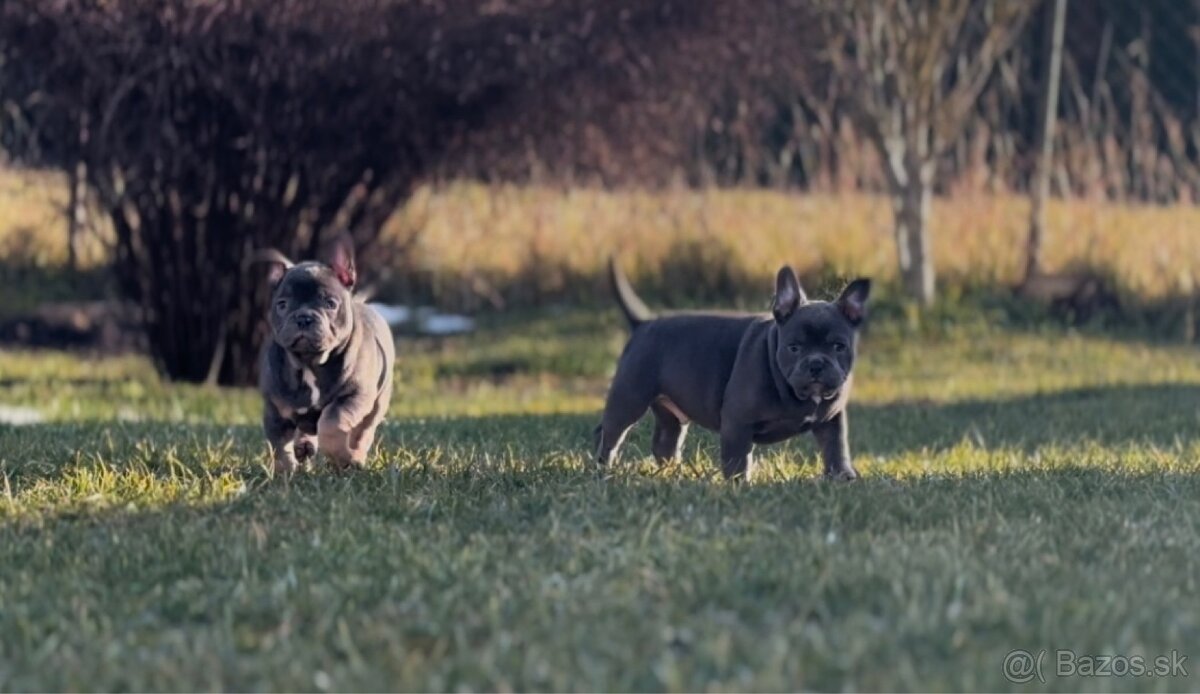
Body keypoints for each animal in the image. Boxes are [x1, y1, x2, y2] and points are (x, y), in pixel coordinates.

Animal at [256, 235, 396, 473]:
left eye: (330, 304)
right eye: (282, 304)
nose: (303, 317)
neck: (308, 362)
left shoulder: (352, 397)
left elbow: (331, 423)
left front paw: (343, 458)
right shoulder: (275, 412)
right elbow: (279, 448)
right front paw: (286, 472)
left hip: (376, 404)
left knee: (362, 433)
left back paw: (355, 456)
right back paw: (304, 446)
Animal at [595, 259, 868, 480]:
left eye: (839, 346)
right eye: (794, 347)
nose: (816, 363)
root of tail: (643, 323)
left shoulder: (831, 420)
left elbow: (835, 447)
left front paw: (842, 476)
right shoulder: (738, 421)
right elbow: (738, 457)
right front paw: (739, 484)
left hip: (670, 413)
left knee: (665, 440)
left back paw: (672, 472)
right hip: (629, 398)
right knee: (609, 432)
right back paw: (602, 468)